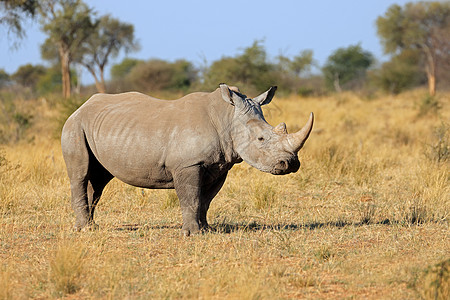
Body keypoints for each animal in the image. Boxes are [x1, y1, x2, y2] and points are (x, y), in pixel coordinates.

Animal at [61, 83, 314, 236]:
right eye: (261, 139)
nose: (291, 164)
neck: (227, 117)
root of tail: (80, 107)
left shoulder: (219, 166)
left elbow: (205, 200)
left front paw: (206, 230)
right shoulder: (188, 164)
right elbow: (190, 197)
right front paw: (192, 233)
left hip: (97, 128)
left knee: (98, 180)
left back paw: (91, 226)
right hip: (74, 126)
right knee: (80, 175)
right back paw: (84, 230)